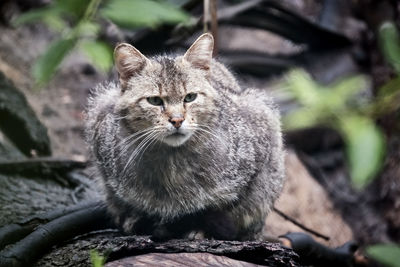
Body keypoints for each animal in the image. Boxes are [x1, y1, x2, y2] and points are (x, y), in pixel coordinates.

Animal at [85, 33, 284, 241]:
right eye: (154, 100)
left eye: (190, 97)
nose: (177, 120)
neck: (172, 164)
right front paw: (137, 220)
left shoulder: (262, 129)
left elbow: (230, 209)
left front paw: (200, 229)